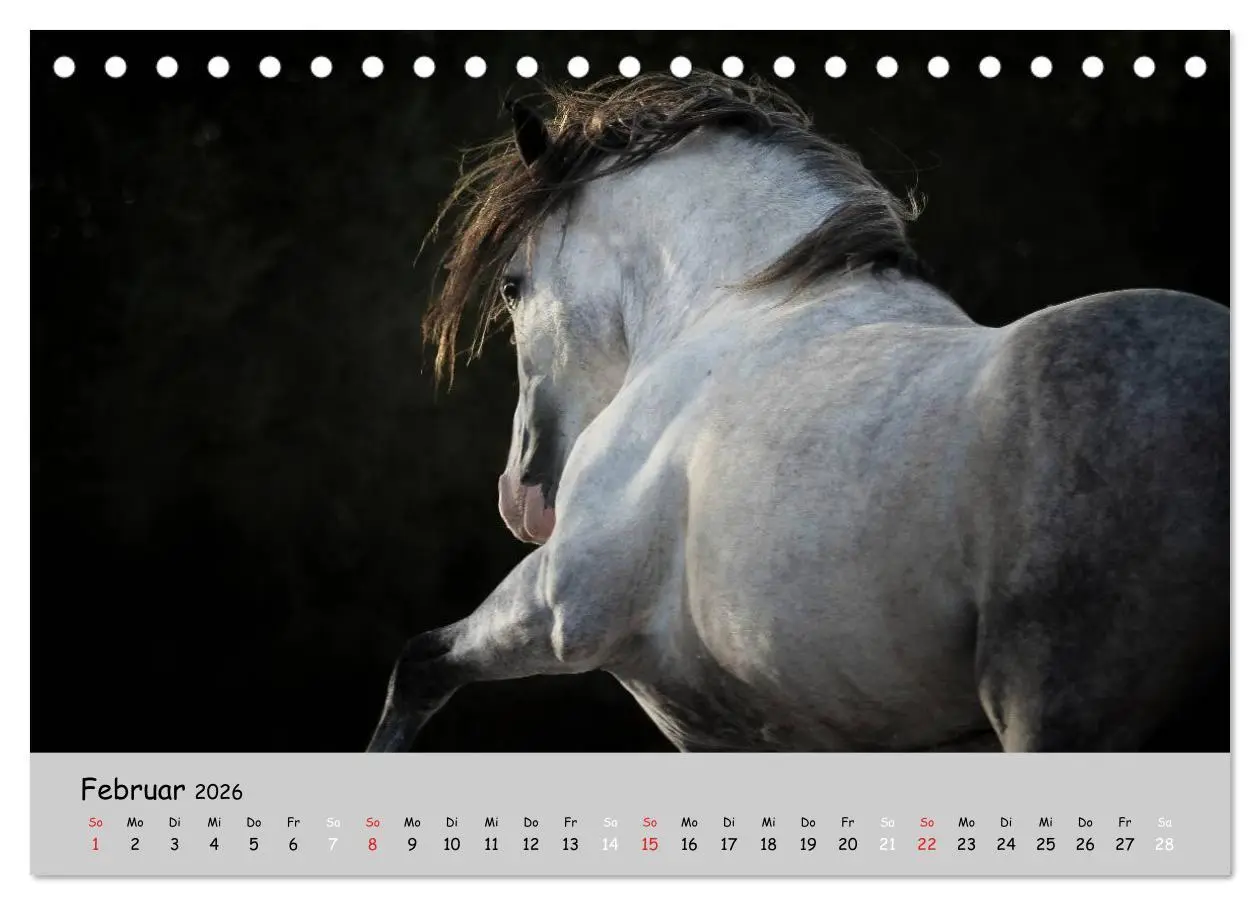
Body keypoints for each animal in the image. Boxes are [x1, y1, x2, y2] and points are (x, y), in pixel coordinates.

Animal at [367, 73, 1229, 753]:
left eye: (514, 286)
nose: (522, 496)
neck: (739, 308)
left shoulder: (560, 604)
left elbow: (419, 665)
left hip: (1054, 708)